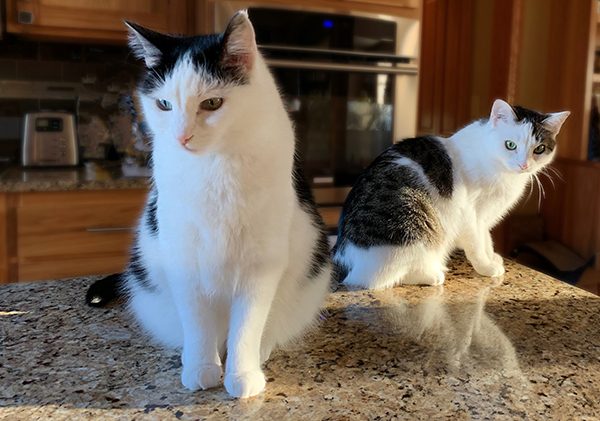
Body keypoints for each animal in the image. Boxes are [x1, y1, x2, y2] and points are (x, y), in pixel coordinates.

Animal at [88, 10, 330, 398]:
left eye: (212, 103)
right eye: (164, 104)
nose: (181, 136)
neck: (215, 166)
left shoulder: (261, 263)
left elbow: (247, 325)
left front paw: (242, 374)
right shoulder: (183, 259)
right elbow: (197, 323)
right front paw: (201, 368)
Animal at [330, 99, 568, 288]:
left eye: (539, 149)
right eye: (510, 145)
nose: (523, 165)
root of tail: (341, 256)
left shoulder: (483, 217)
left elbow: (486, 238)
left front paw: (492, 258)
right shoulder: (469, 213)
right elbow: (476, 244)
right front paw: (486, 267)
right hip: (414, 231)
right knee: (378, 278)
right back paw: (432, 274)